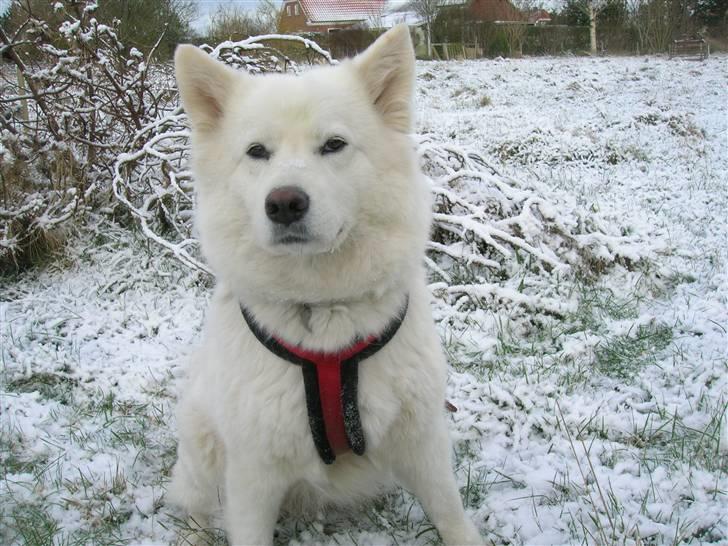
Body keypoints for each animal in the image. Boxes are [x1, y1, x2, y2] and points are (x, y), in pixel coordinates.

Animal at [168, 25, 480, 544]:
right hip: (202, 451)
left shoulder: (421, 437)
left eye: (333, 144)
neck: (323, 313)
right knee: (194, 509)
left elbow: (451, 513)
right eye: (257, 152)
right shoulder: (252, 473)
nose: (284, 204)